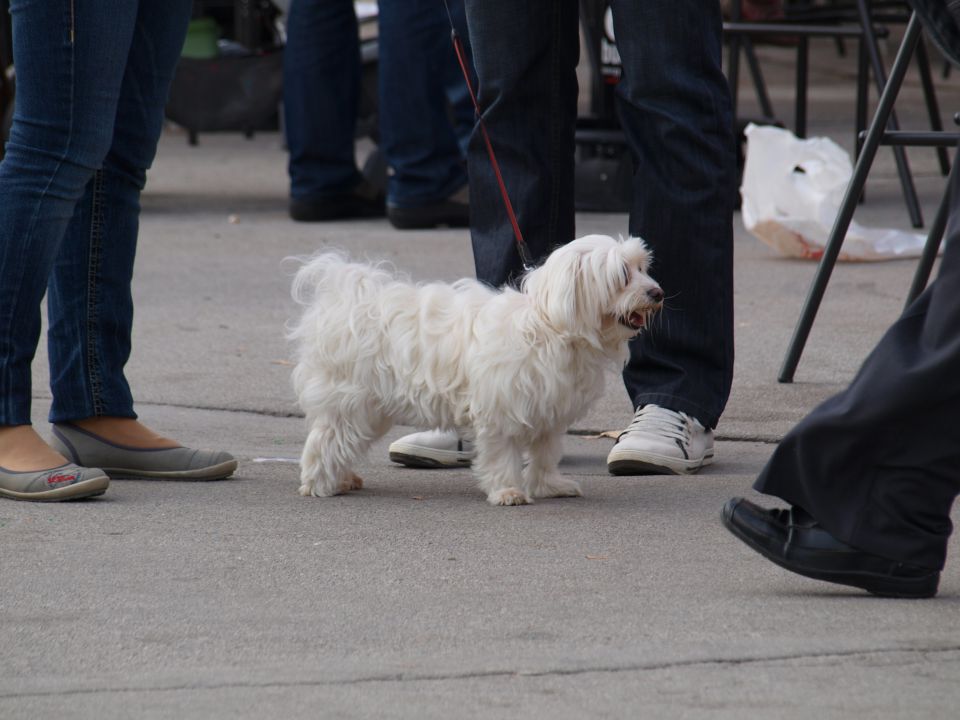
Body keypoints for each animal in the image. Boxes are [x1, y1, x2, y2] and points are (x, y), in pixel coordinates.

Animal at [288, 236, 664, 506]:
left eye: (643, 267)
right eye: (622, 274)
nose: (657, 292)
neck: (549, 326)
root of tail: (346, 300)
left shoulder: (549, 415)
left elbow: (544, 456)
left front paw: (549, 486)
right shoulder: (502, 413)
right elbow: (502, 456)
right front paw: (508, 492)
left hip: (368, 408)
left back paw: (341, 478)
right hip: (352, 402)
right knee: (326, 440)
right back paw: (320, 484)